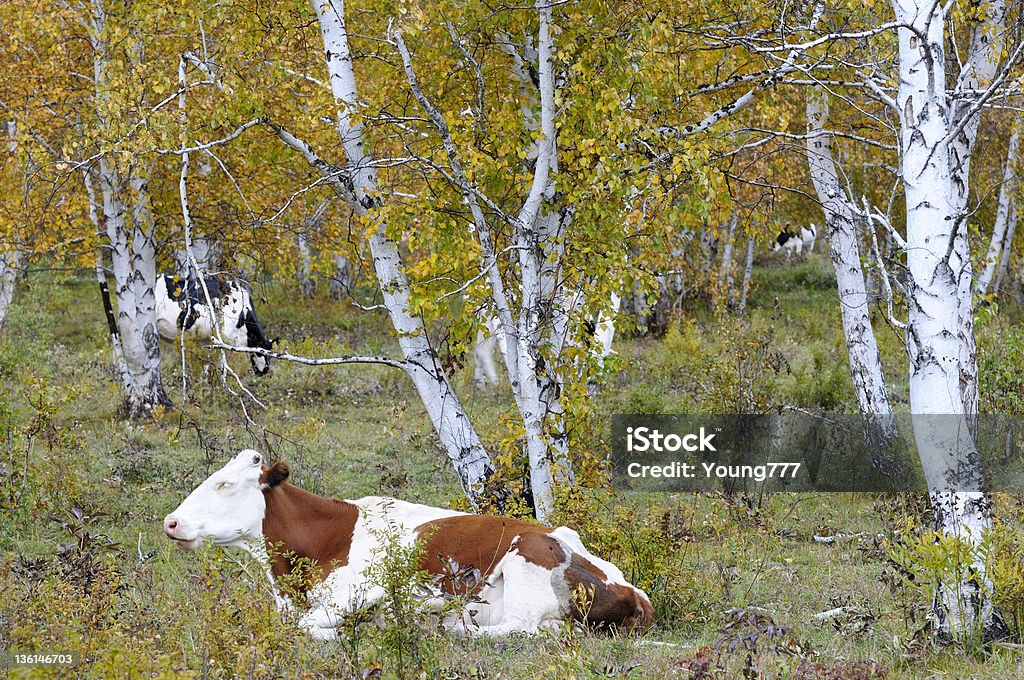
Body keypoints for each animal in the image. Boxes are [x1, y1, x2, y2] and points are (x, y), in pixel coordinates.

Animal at [163, 448, 651, 639]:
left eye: (224, 484)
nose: (171, 522)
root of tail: (635, 592)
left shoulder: (362, 589)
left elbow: (306, 627)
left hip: (525, 557)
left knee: (519, 628)